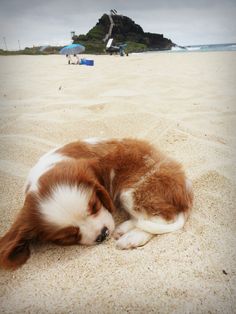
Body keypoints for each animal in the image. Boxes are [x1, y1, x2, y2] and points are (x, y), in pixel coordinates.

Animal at [0, 139, 193, 268]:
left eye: (94, 206)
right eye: (68, 236)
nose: (103, 234)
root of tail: (186, 191)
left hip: (133, 192)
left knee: (161, 219)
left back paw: (131, 238)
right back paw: (123, 229)